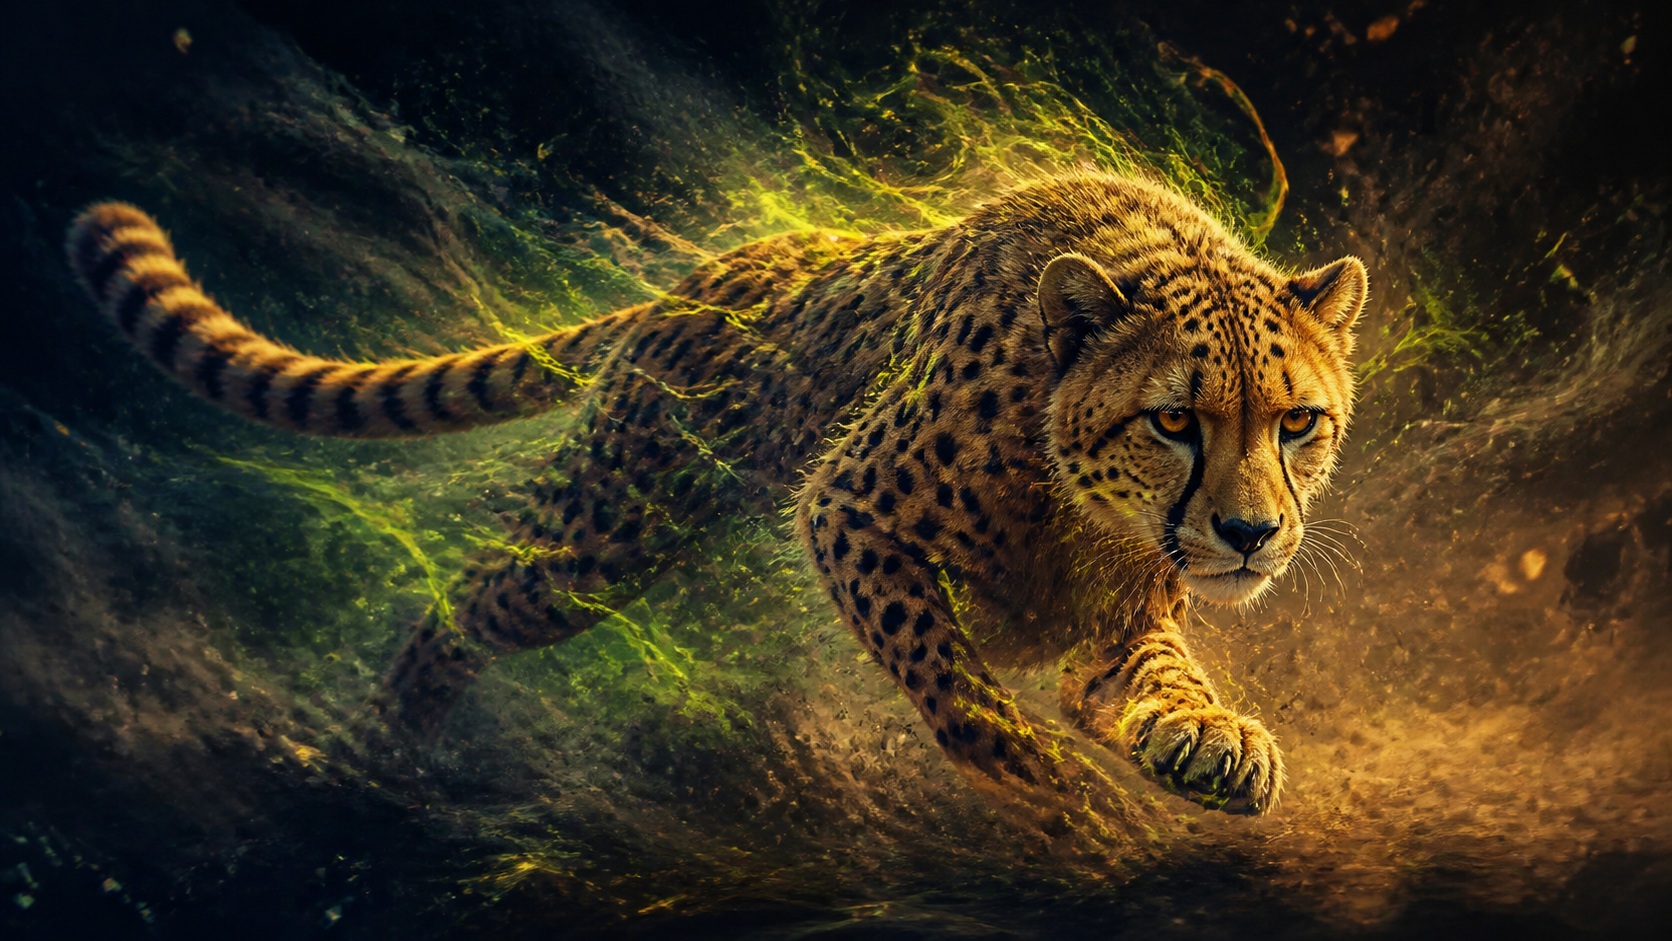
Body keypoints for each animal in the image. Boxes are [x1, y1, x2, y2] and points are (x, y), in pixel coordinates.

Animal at [67, 173, 1366, 816]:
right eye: (1173, 421)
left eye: (1296, 423)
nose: (1251, 534)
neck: (1076, 503)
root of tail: (708, 272)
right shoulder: (847, 511)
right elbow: (952, 682)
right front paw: (1056, 797)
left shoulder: (1116, 622)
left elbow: (1157, 680)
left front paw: (1213, 743)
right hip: (601, 535)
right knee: (468, 605)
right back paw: (373, 748)